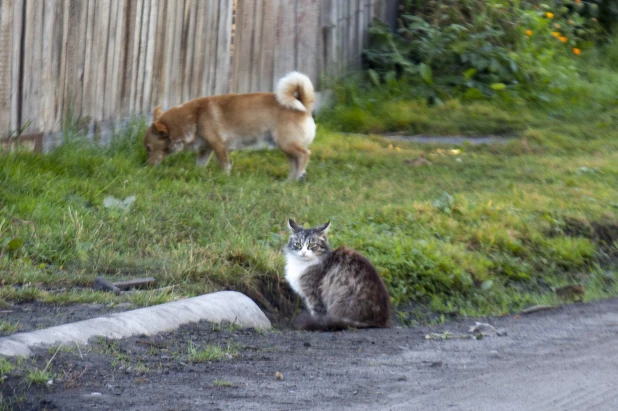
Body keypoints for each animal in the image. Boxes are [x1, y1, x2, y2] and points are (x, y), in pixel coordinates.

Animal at [144, 71, 316, 180]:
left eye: (149, 148)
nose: (148, 166)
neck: (194, 117)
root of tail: (303, 107)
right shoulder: (206, 149)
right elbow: (200, 163)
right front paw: (197, 173)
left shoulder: (219, 146)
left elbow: (224, 165)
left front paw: (224, 178)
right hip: (285, 147)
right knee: (294, 162)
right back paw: (289, 181)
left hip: (287, 143)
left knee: (305, 154)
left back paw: (301, 173)